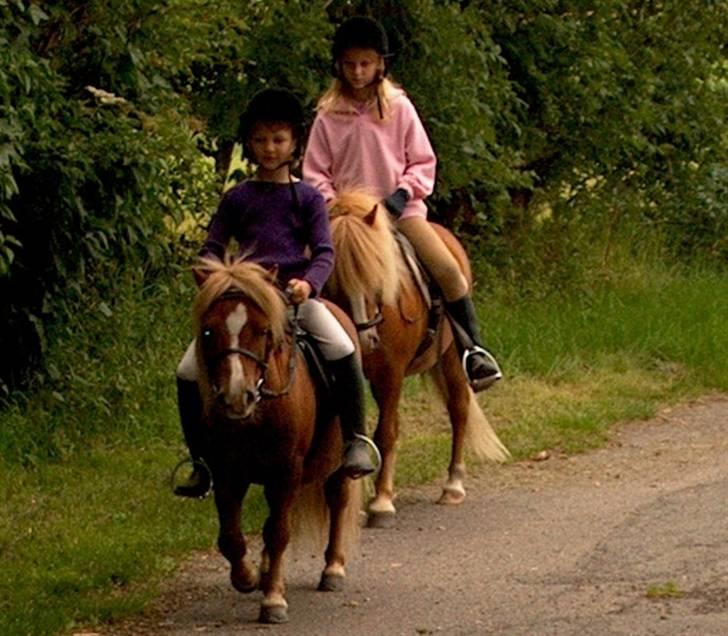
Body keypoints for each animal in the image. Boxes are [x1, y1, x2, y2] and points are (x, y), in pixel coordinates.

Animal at [193, 256, 362, 624]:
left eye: (262, 330)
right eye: (209, 331)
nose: (236, 397)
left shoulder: (286, 470)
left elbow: (279, 532)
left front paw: (273, 600)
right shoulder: (227, 472)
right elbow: (231, 536)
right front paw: (247, 577)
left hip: (335, 464)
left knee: (338, 499)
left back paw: (333, 569)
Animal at [328, 189, 510, 528]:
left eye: (375, 272)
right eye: (334, 278)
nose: (365, 339)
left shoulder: (391, 372)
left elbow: (386, 432)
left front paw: (381, 503)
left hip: (451, 358)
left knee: (459, 410)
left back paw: (453, 486)